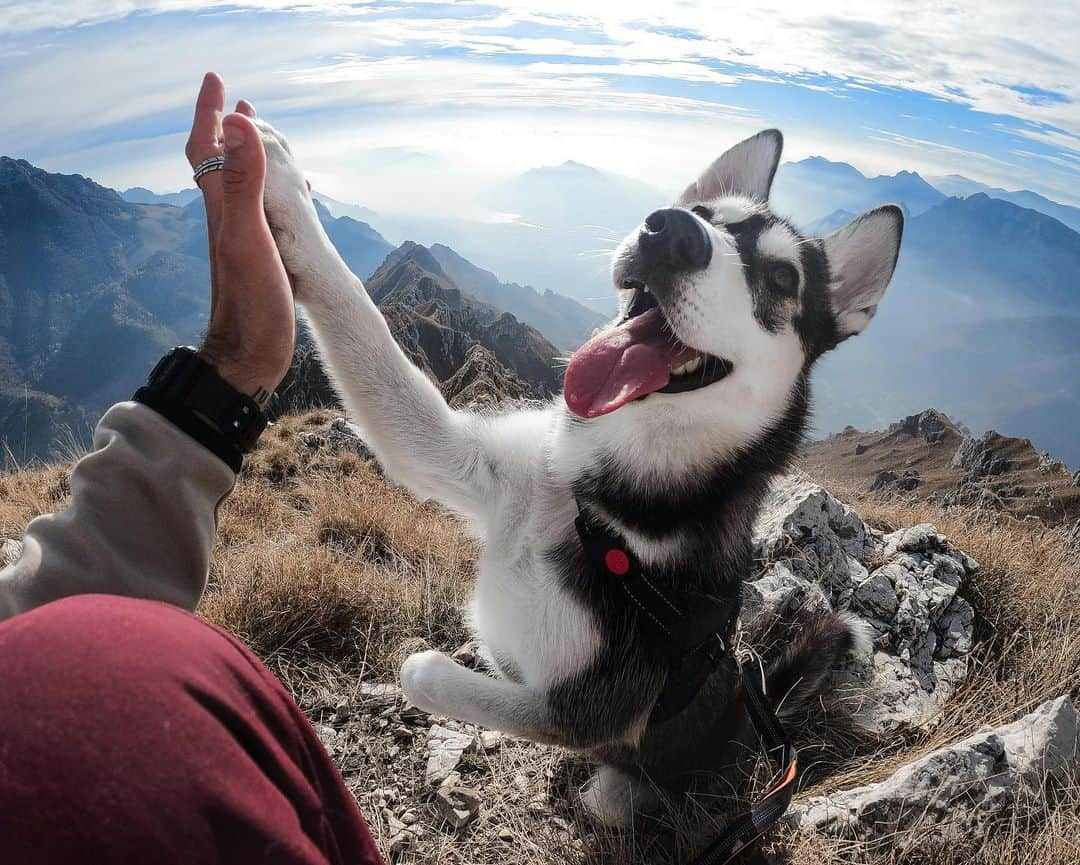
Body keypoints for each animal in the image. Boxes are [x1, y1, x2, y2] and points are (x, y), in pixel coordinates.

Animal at [252, 123, 902, 825]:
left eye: (782, 277)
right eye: (704, 213)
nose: (671, 230)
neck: (597, 508)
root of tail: (744, 721)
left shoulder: (587, 713)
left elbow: (421, 672)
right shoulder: (465, 456)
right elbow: (360, 319)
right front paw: (279, 184)